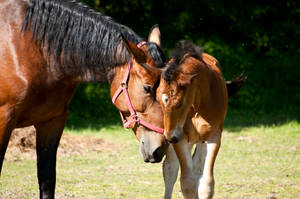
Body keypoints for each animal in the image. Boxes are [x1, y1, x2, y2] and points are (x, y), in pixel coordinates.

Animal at [157, 40, 227, 199]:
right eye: (158, 100)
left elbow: (206, 183)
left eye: (179, 103)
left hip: (199, 140)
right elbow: (187, 183)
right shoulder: (181, 138)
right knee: (170, 168)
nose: (169, 137)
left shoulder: (214, 136)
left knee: (197, 167)